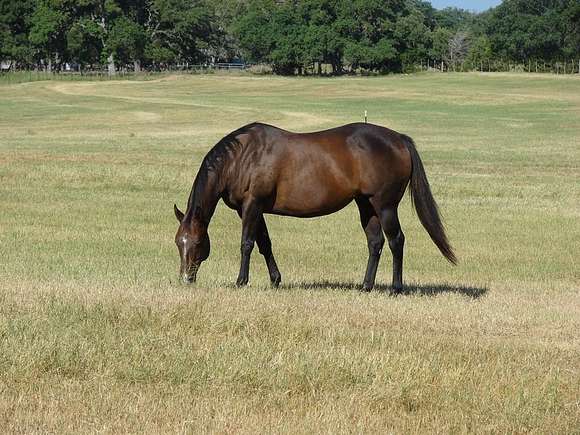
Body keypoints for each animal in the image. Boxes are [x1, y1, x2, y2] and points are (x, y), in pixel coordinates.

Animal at [174, 122, 456, 292]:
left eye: (197, 243)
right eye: (179, 243)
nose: (186, 278)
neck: (242, 156)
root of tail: (399, 139)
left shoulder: (252, 205)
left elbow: (247, 243)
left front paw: (241, 281)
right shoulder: (253, 209)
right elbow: (265, 244)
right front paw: (275, 280)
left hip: (385, 206)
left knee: (397, 240)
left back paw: (396, 288)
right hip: (366, 205)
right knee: (375, 243)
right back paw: (366, 285)